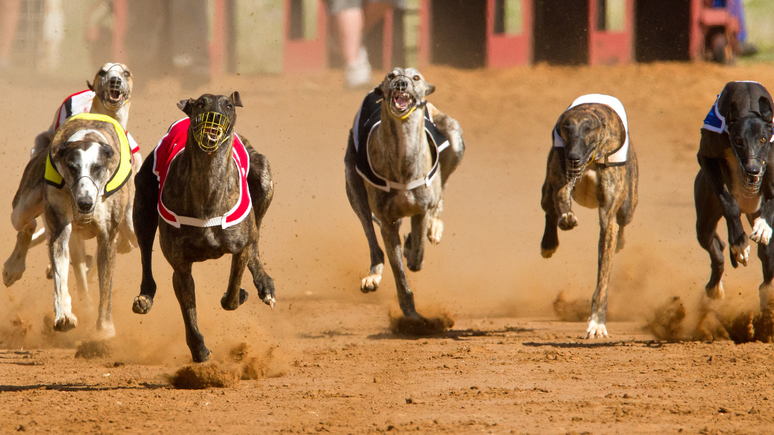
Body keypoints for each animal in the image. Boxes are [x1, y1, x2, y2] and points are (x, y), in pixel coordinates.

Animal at [544, 94, 640, 340]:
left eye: (589, 128)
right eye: (565, 128)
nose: (573, 158)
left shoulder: (608, 214)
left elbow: (603, 276)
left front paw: (597, 323)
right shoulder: (561, 175)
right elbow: (561, 199)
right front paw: (566, 217)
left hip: (629, 204)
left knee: (622, 223)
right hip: (546, 188)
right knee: (548, 206)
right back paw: (548, 243)